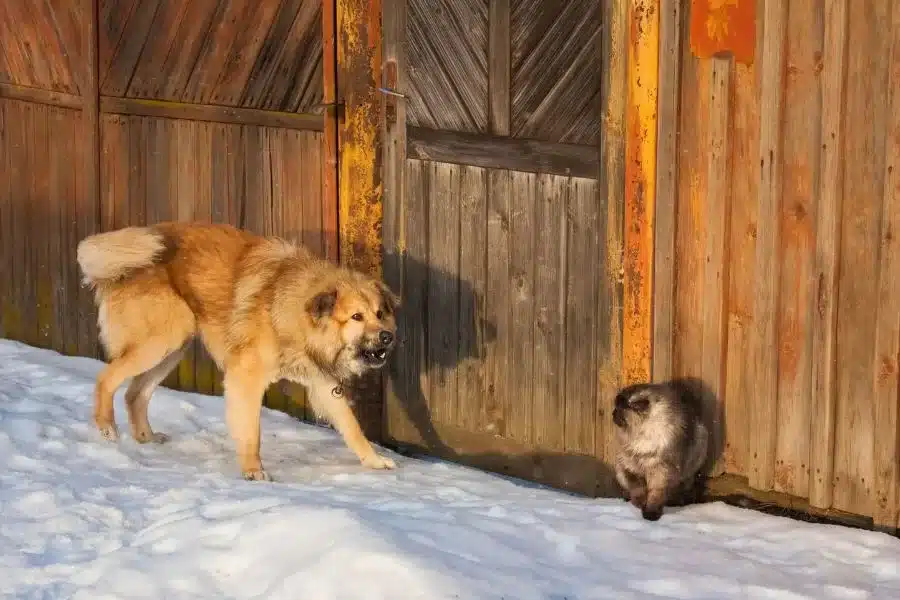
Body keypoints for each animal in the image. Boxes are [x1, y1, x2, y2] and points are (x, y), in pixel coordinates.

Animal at [75, 223, 400, 480]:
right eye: (356, 317)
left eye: (379, 313)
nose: (388, 337)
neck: (286, 307)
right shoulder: (246, 377)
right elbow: (251, 432)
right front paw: (253, 471)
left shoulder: (322, 384)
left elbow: (352, 427)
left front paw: (374, 460)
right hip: (161, 340)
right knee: (106, 378)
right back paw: (106, 428)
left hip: (173, 348)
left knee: (135, 394)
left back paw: (146, 437)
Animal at [612, 384, 712, 520]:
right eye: (615, 408)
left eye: (619, 410)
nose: (612, 413)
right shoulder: (631, 469)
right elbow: (638, 491)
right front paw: (640, 504)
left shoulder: (661, 471)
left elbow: (655, 496)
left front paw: (650, 514)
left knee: (683, 489)